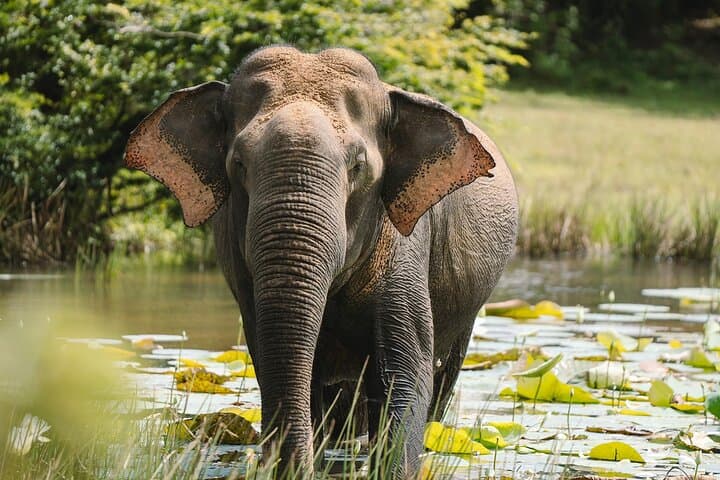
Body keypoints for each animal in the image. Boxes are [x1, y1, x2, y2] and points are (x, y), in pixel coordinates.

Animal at [124, 46, 518, 477]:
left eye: (358, 166)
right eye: (238, 164)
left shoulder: (405, 248)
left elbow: (406, 373)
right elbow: (274, 364)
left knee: (439, 380)